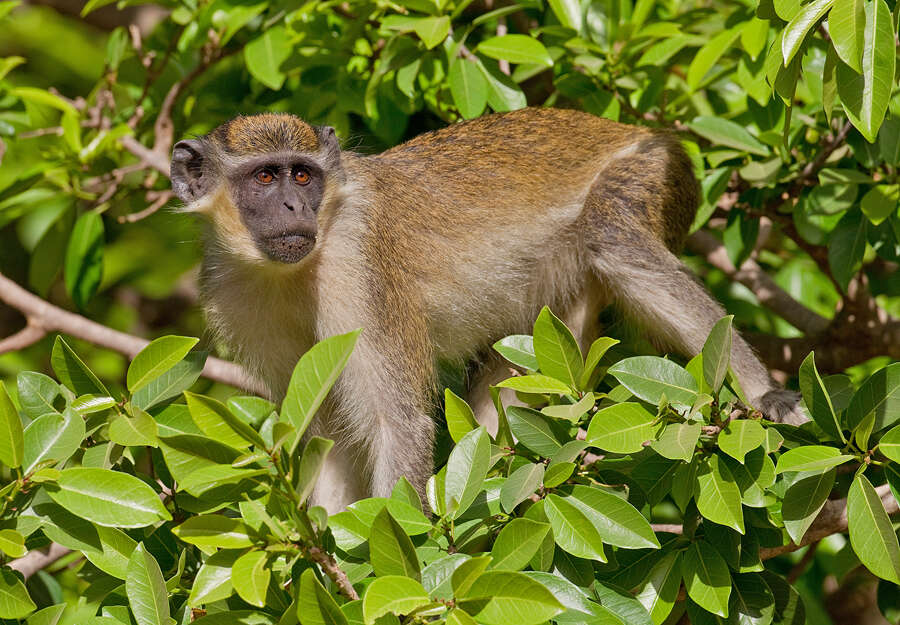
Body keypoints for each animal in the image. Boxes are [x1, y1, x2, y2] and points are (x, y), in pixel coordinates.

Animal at [172, 107, 804, 512]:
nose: (294, 206)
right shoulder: (233, 296)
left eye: (303, 174)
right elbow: (329, 434)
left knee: (614, 237)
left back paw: (765, 392)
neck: (293, 271)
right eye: (264, 176)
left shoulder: (361, 267)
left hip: (652, 173)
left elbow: (396, 423)